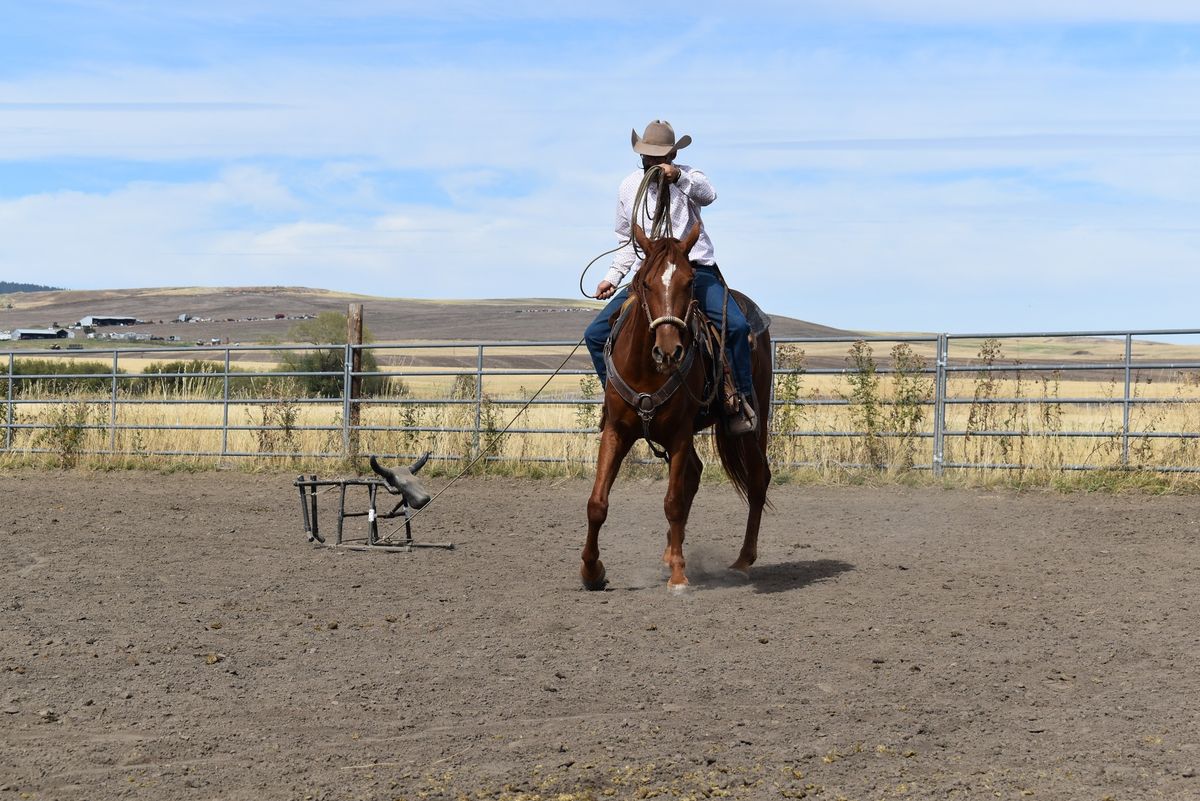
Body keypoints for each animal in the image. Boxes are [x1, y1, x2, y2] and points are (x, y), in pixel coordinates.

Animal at [583, 221, 772, 592]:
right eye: (644, 281)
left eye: (689, 281)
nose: (669, 351)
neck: (646, 370)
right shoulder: (615, 431)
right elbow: (597, 503)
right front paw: (591, 571)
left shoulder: (680, 433)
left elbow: (672, 501)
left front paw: (680, 576)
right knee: (696, 475)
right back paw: (671, 551)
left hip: (755, 421)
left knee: (758, 479)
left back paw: (742, 562)